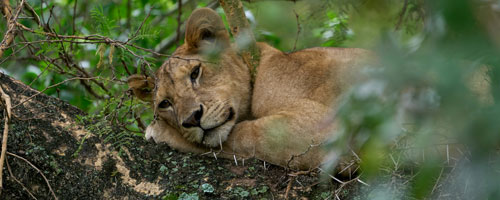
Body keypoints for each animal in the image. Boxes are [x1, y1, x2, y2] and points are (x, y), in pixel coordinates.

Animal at [129, 8, 372, 170]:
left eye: (195, 73)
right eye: (165, 103)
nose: (191, 119)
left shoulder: (323, 131)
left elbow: (244, 136)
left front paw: (160, 131)